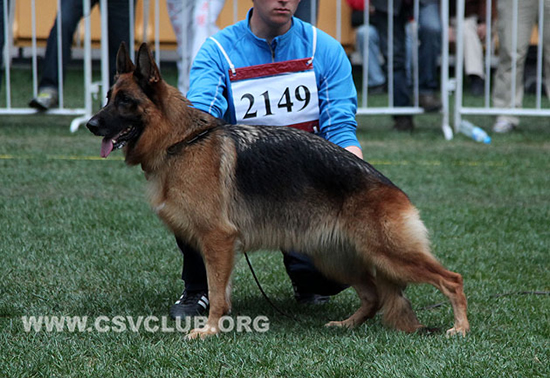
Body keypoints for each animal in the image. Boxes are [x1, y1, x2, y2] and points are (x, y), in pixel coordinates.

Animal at [86, 43, 470, 340]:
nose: (90, 124)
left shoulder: (217, 240)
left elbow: (217, 292)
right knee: (374, 295)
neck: (180, 141)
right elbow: (220, 290)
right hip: (336, 259)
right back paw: (347, 324)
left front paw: (210, 331)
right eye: (107, 98)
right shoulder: (216, 245)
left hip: (390, 255)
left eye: (125, 101)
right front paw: (218, 325)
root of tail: (388, 187)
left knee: (452, 279)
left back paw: (461, 328)